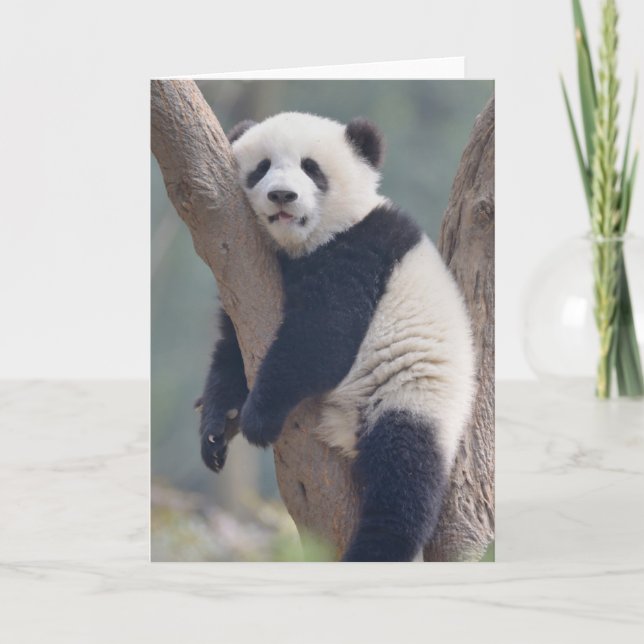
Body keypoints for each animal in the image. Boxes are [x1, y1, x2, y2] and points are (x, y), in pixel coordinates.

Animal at [198, 111, 475, 562]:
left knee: (404, 475)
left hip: (413, 396)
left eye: (312, 168)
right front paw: (217, 427)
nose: (282, 195)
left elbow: (322, 339)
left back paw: (376, 548)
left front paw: (258, 417)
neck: (304, 245)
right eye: (262, 167)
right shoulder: (243, 274)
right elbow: (232, 350)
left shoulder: (361, 251)